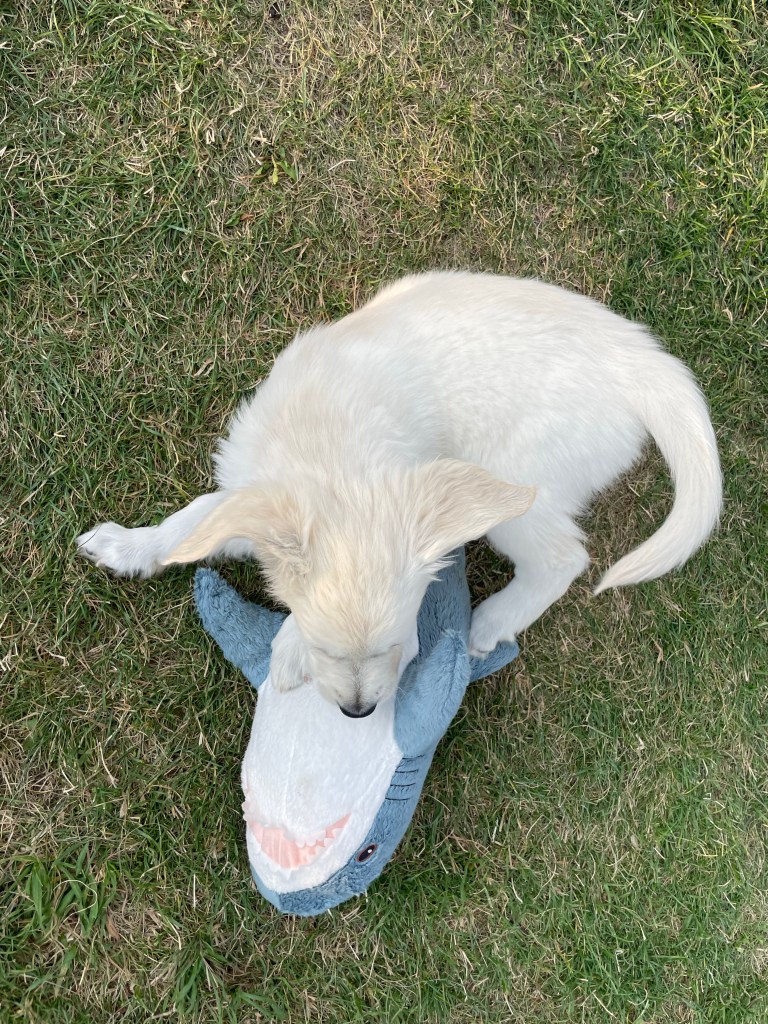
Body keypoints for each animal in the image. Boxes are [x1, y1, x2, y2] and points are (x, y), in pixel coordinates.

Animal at [77, 272, 722, 717]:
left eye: (399, 646)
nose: (358, 713)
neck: (329, 451)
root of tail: (643, 364)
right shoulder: (252, 490)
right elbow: (192, 523)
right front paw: (127, 546)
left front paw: (286, 652)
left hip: (513, 482)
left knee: (564, 558)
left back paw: (493, 621)